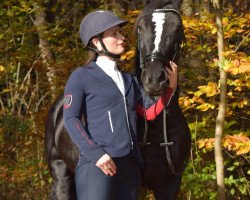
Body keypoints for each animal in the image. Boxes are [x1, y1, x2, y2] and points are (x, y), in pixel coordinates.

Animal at [45, 0, 190, 199]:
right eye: (140, 28)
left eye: (178, 28)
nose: (154, 79)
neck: (158, 128)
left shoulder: (170, 184)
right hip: (62, 174)